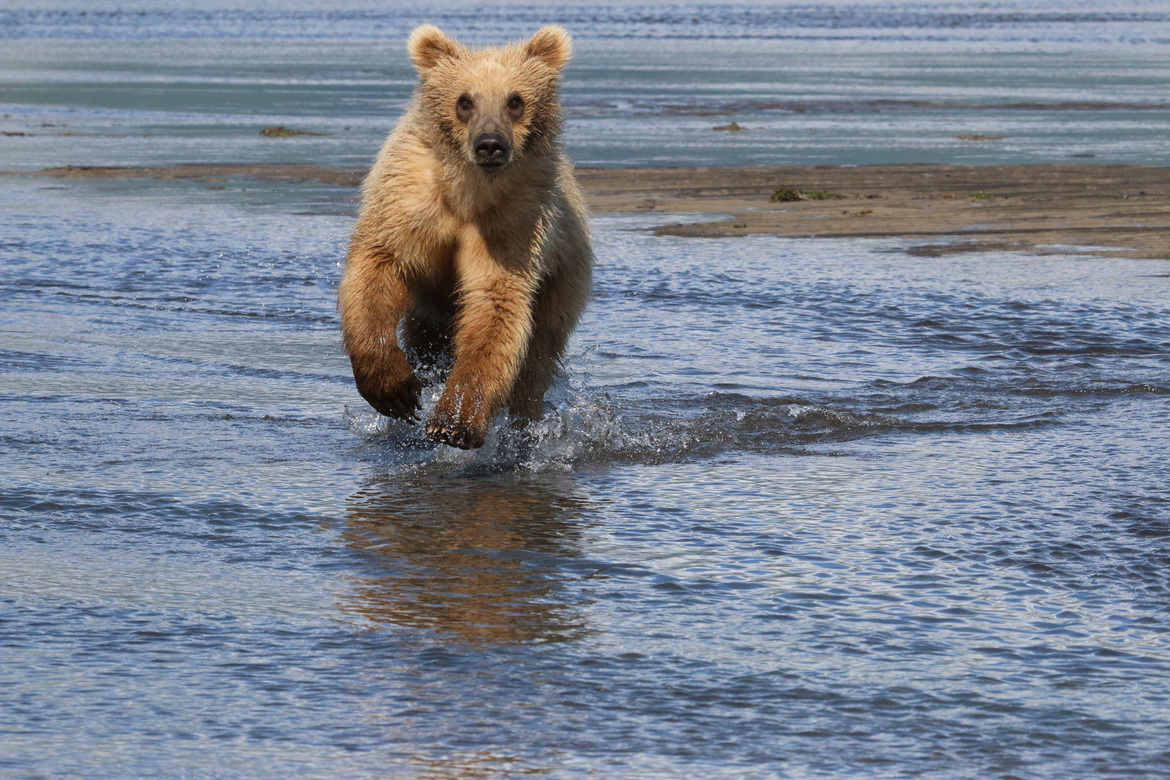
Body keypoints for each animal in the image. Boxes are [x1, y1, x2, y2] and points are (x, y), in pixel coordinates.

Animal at [338, 25, 593, 450]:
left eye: (515, 100)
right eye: (464, 101)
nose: (490, 144)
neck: (467, 193)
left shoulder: (514, 224)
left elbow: (495, 306)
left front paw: (454, 421)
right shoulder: (410, 202)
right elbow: (378, 269)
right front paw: (395, 390)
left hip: (562, 281)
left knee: (536, 361)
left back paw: (523, 425)